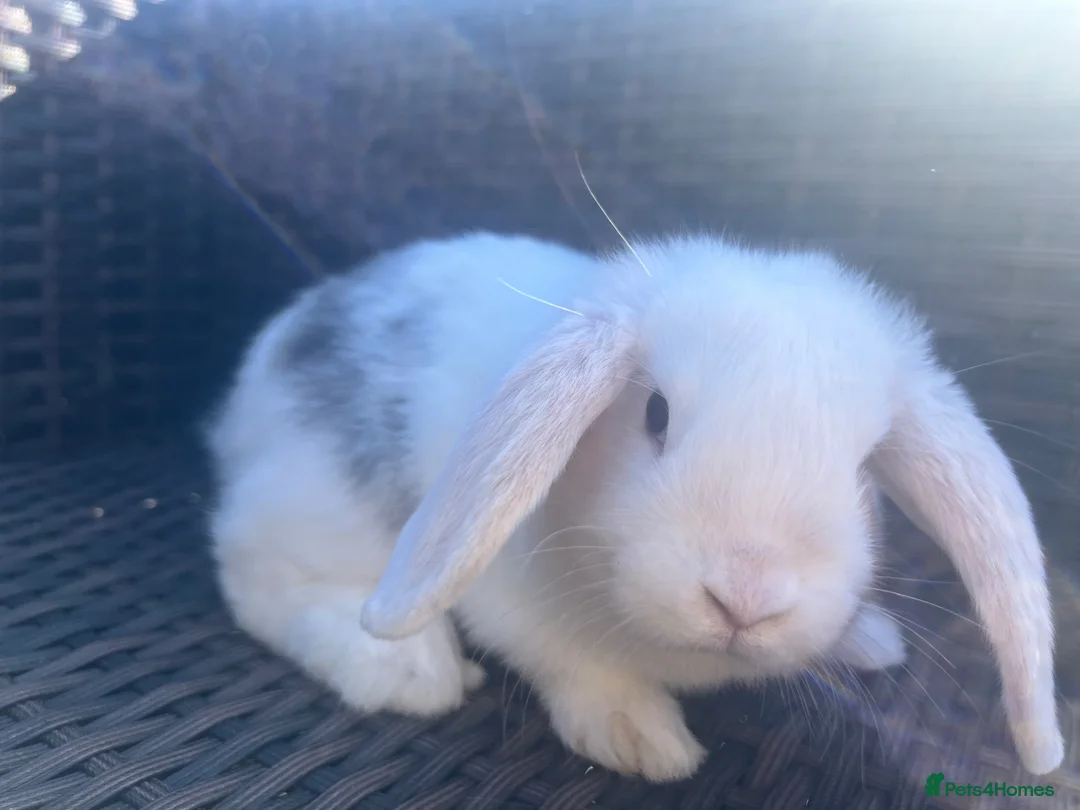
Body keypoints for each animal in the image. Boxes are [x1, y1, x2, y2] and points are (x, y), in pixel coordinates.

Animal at [205, 231, 1063, 782]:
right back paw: (406, 670)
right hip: (317, 503)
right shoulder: (517, 605)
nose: (745, 598)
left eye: (863, 467)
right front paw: (641, 739)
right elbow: (576, 662)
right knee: (264, 578)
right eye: (655, 413)